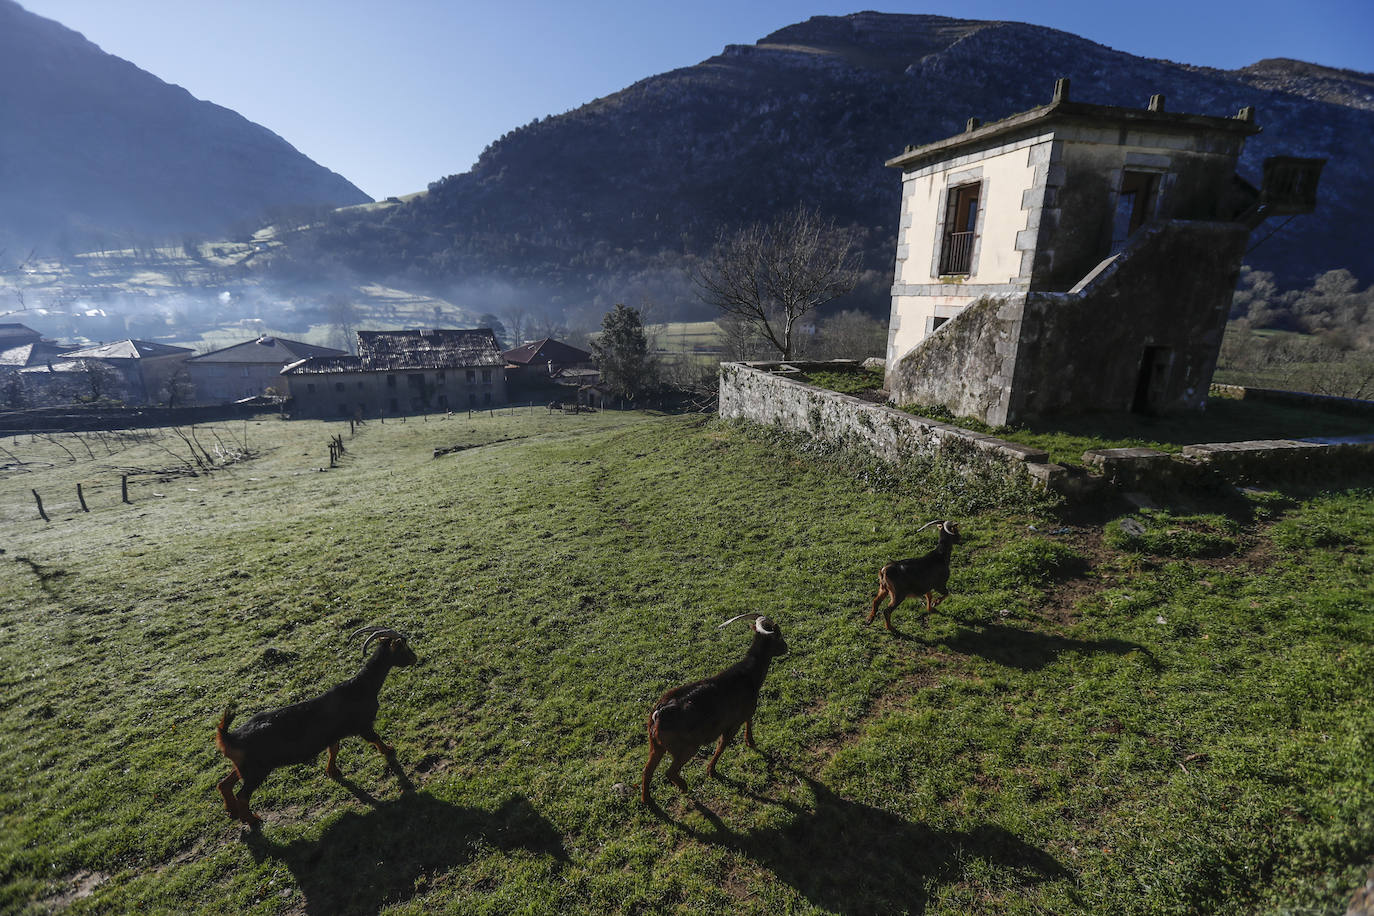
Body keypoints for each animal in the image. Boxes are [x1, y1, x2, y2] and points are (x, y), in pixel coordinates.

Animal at [214, 626, 414, 829]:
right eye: (404, 647)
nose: (415, 658)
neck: (361, 686)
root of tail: (229, 737)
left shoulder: (333, 734)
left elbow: (334, 749)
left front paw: (332, 771)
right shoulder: (363, 725)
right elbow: (375, 738)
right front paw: (389, 750)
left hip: (246, 767)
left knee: (224, 784)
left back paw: (232, 811)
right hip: (257, 771)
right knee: (242, 795)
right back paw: (252, 820)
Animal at [640, 615, 791, 802]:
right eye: (778, 635)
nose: (786, 647)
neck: (748, 675)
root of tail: (657, 714)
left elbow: (749, 719)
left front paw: (750, 742)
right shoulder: (731, 725)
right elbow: (722, 745)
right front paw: (711, 771)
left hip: (656, 745)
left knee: (647, 770)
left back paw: (647, 800)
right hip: (686, 747)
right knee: (670, 771)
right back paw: (683, 787)